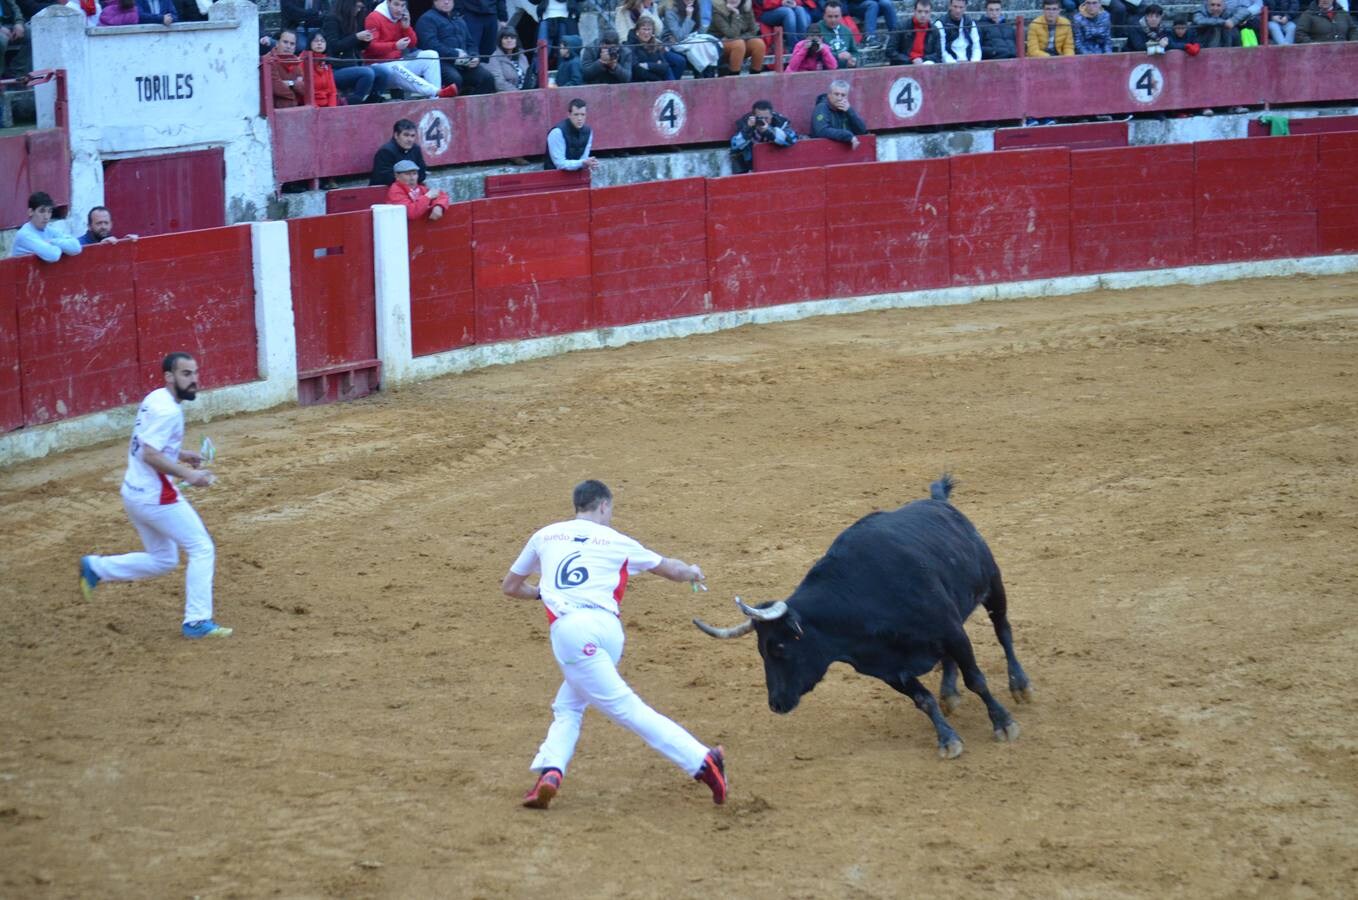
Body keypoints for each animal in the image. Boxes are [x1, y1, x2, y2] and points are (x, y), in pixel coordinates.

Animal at [695, 475, 1032, 754]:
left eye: (778, 647)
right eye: (760, 651)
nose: (776, 704)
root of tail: (939, 502)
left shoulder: (951, 632)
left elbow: (977, 679)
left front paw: (1003, 723)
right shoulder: (889, 668)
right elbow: (922, 700)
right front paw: (947, 739)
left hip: (993, 585)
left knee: (1003, 632)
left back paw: (1020, 686)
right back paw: (949, 693)